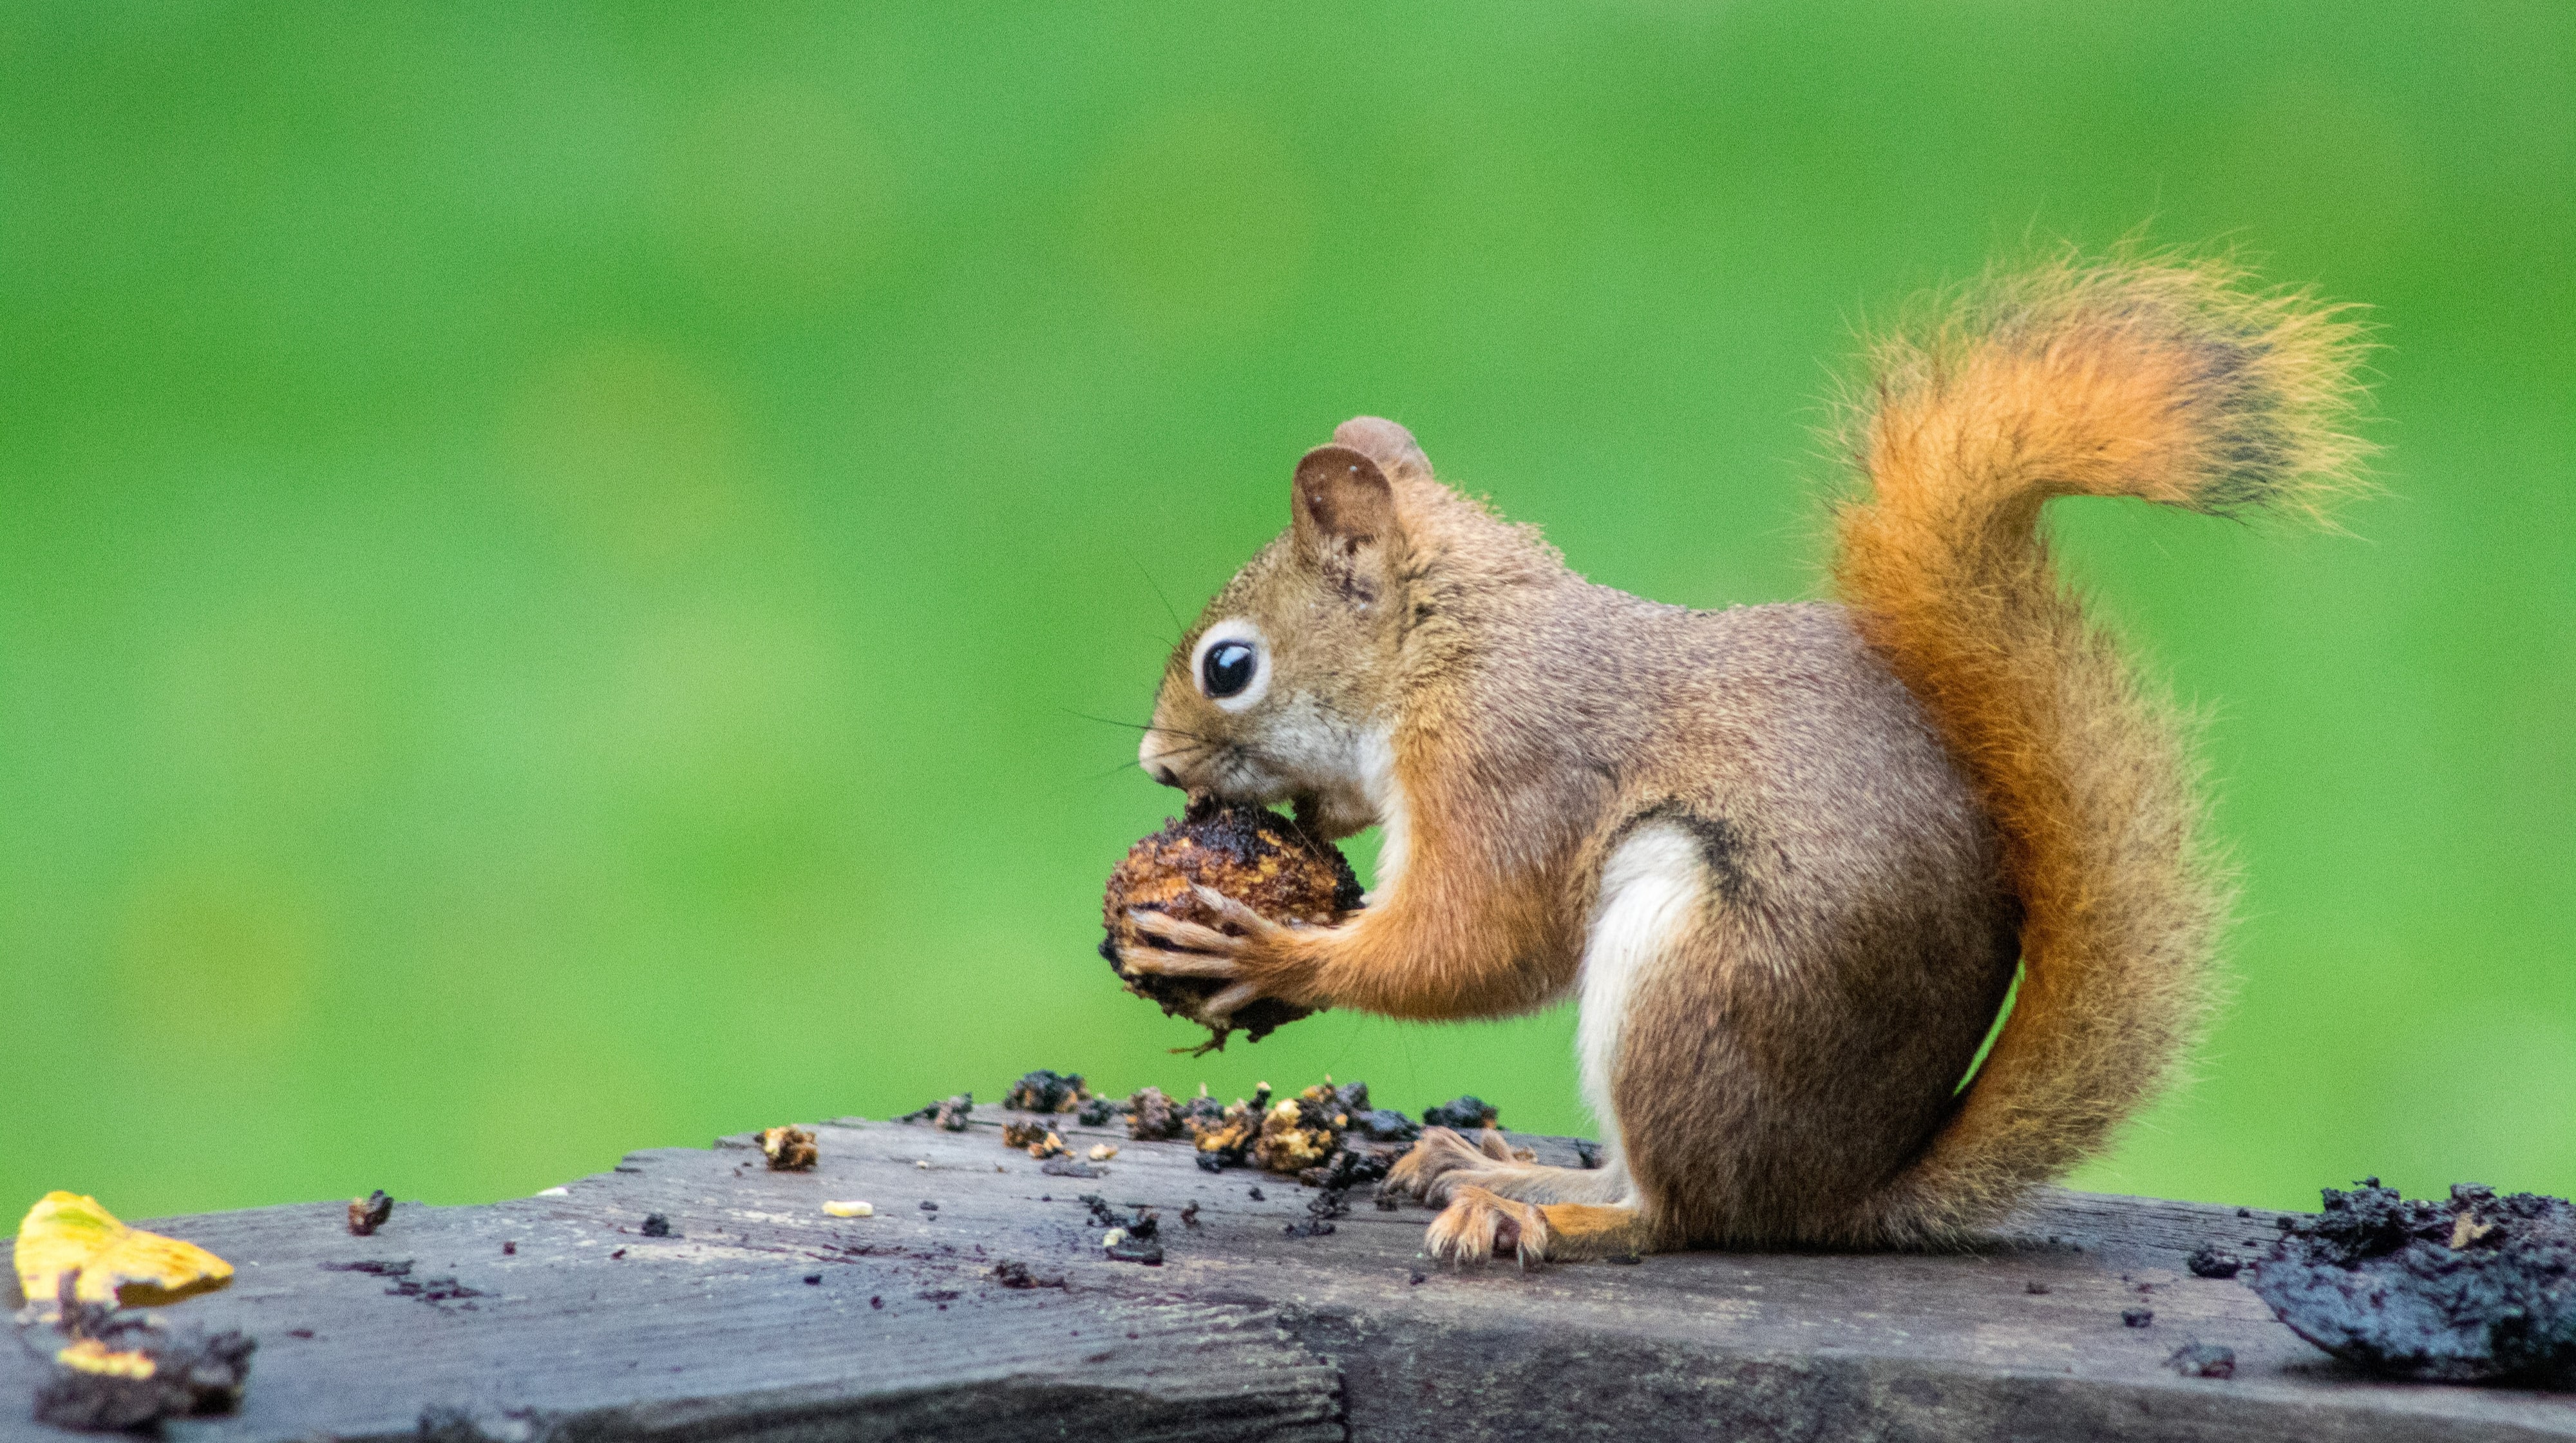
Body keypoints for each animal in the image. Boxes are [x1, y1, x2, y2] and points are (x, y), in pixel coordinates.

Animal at [1118, 256, 2360, 1263]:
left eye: (1229, 667)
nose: (1155, 764)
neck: (1452, 646)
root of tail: (1838, 1196)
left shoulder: (1508, 766)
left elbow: (1478, 945)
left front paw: (1267, 951)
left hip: (1691, 977)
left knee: (1677, 1215)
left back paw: (1542, 1213)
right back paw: (1493, 1165)